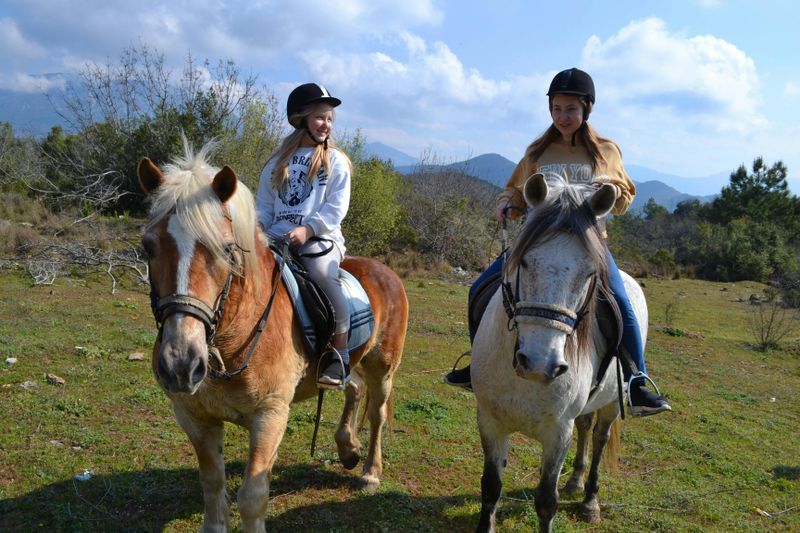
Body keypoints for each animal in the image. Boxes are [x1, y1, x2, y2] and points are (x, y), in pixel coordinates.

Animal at [136, 142, 408, 532]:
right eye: (148, 247)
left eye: (226, 249)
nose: (180, 364)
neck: (231, 342)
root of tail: (386, 272)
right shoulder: (194, 416)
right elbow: (212, 485)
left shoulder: (270, 415)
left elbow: (252, 496)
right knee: (353, 389)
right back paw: (347, 448)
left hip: (383, 367)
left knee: (377, 413)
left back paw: (370, 472)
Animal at [472, 173, 646, 532]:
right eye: (524, 261)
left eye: (590, 273)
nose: (540, 364)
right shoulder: (491, 421)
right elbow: (491, 486)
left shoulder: (557, 433)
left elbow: (545, 501)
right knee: (586, 427)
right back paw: (575, 481)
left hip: (612, 403)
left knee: (599, 438)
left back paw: (590, 500)